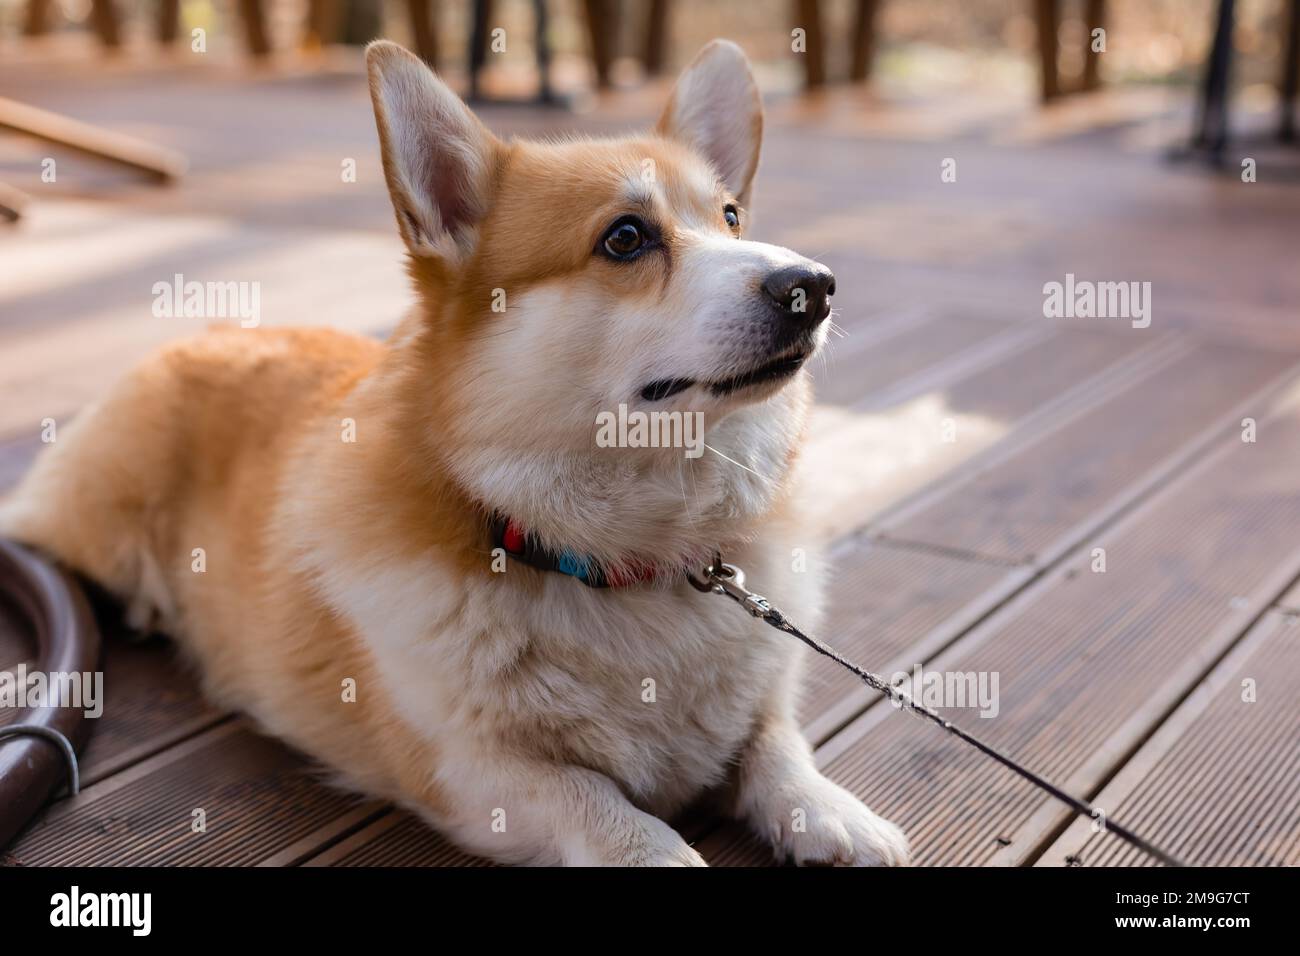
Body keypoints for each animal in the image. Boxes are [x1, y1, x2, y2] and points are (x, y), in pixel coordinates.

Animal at [0, 39, 909, 868]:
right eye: (625, 238)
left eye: (729, 219)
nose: (814, 286)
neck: (623, 559)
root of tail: (211, 331)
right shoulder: (474, 772)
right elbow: (609, 810)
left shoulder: (756, 707)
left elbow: (776, 744)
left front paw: (834, 816)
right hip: (95, 527)